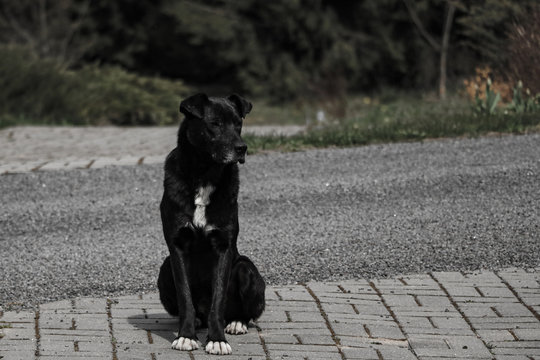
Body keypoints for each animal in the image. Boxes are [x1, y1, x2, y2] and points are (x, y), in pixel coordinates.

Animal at [156, 93, 266, 354]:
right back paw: (196, 322)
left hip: (247, 269)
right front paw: (186, 336)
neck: (205, 175)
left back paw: (236, 323)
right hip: (164, 269)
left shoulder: (223, 247)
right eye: (215, 123)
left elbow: (219, 298)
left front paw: (217, 339)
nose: (242, 148)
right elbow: (185, 297)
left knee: (240, 310)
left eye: (238, 123)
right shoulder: (177, 246)